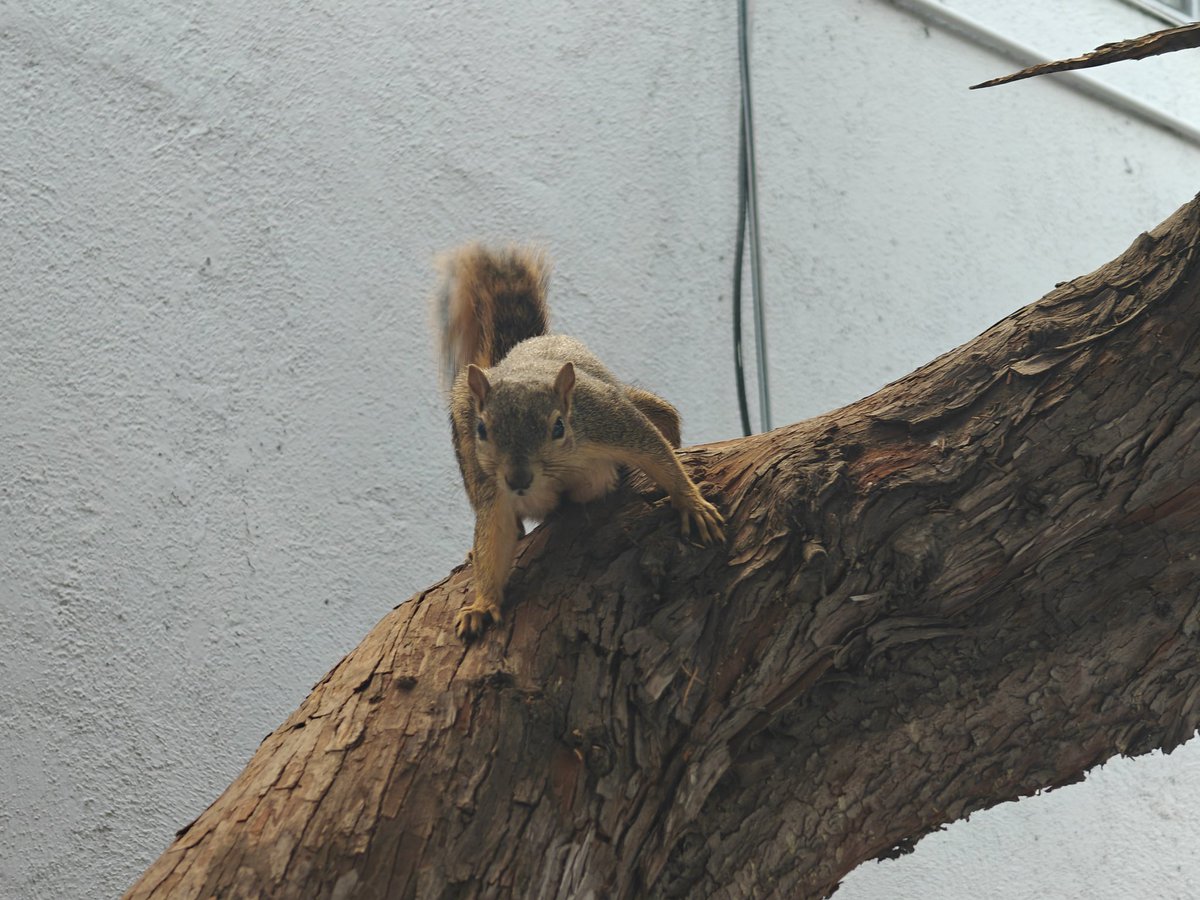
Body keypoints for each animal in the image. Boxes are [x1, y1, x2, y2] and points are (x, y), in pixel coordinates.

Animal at [435, 243, 724, 639]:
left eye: (559, 427)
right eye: (482, 430)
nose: (518, 479)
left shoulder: (608, 417)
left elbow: (657, 454)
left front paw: (692, 503)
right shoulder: (493, 485)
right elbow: (495, 532)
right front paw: (483, 603)